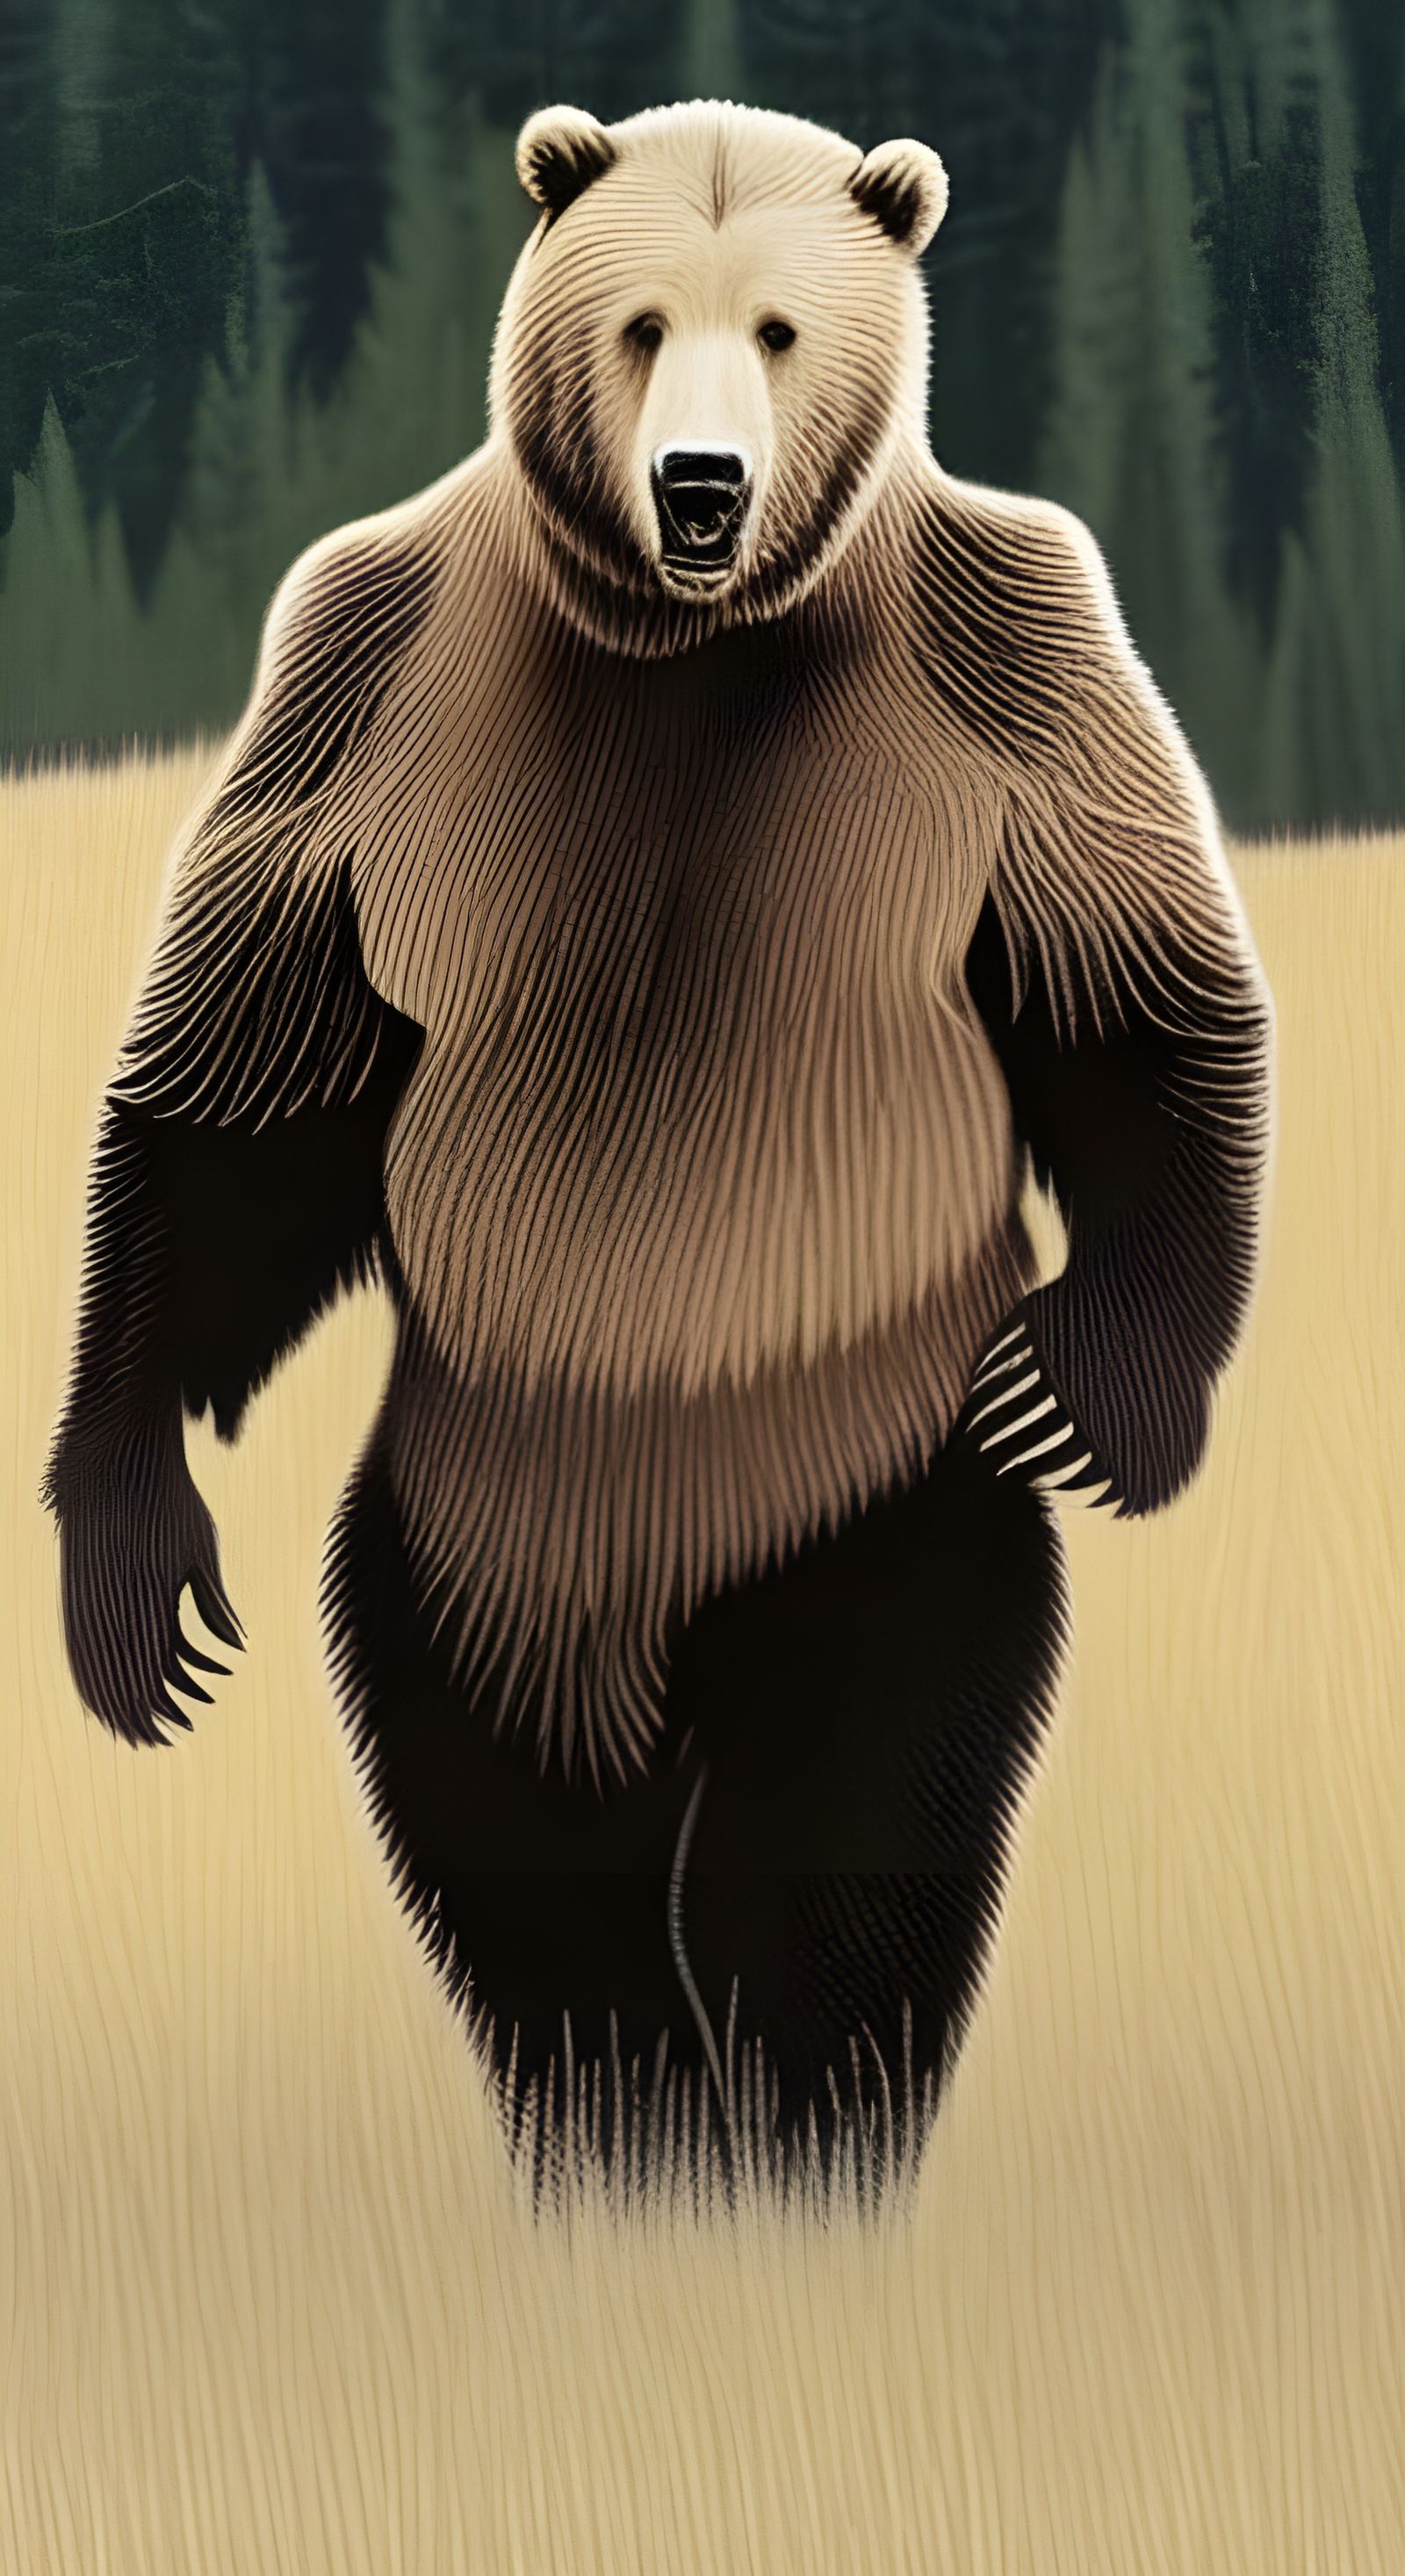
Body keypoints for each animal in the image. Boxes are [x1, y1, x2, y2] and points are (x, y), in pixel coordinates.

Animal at [45, 99, 1272, 2209]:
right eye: (637, 324)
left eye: (779, 325)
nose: (701, 485)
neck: (682, 639)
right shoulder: (363, 668)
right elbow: (247, 1094)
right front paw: (133, 1577)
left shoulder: (1007, 652)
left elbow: (1126, 991)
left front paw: (1092, 1380)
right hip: (452, 1561)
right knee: (530, 1897)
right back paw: (624, 2152)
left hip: (857, 1497)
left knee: (846, 1836)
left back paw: (789, 2149)